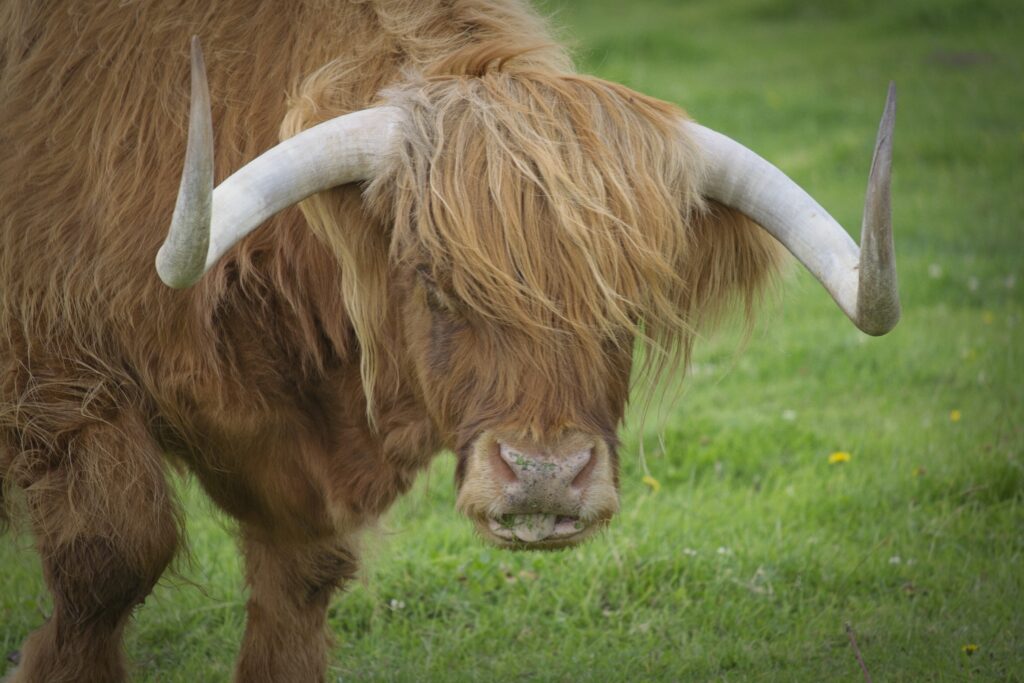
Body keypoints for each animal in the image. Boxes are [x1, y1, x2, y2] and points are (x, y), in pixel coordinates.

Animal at [0, 1, 898, 681]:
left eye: (631, 301)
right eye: (431, 279)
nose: (545, 475)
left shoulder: (298, 497)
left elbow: (296, 592)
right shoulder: (57, 379)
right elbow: (112, 556)